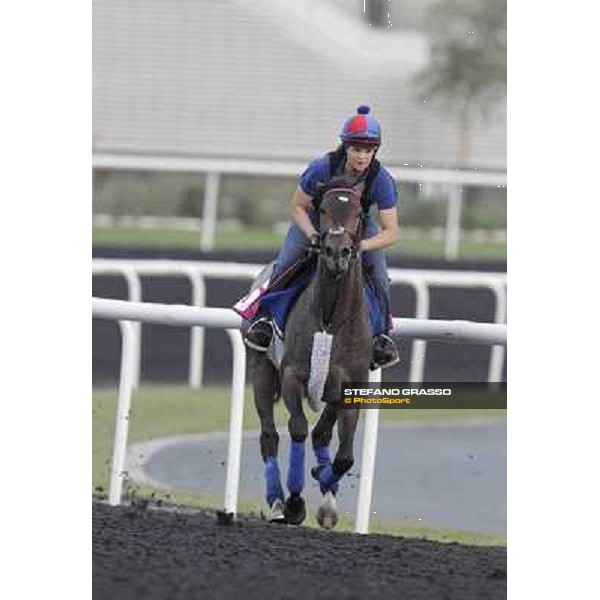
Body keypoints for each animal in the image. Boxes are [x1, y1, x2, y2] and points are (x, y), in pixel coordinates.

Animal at [246, 178, 372, 528]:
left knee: (322, 435)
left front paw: (323, 481)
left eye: (358, 213)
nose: (337, 252)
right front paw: (294, 503)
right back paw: (277, 501)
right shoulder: (291, 376)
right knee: (270, 435)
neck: (329, 319)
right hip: (261, 369)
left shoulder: (350, 387)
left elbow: (344, 456)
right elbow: (298, 429)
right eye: (324, 208)